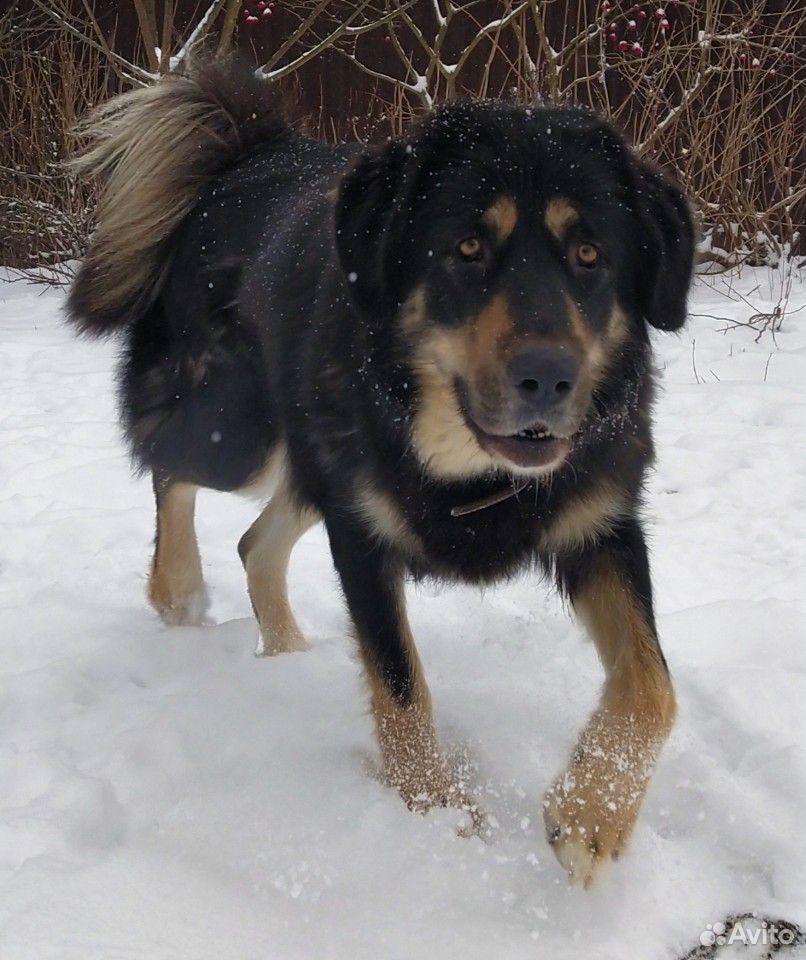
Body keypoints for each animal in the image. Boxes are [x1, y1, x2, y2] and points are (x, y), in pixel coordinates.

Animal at [68, 58, 696, 884]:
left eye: (591, 255)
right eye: (466, 248)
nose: (548, 378)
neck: (469, 468)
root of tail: (247, 154)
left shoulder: (601, 528)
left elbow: (654, 688)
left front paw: (594, 814)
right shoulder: (363, 535)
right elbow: (401, 687)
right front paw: (436, 817)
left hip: (311, 457)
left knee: (254, 542)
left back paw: (287, 652)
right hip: (242, 431)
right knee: (169, 464)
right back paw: (176, 586)